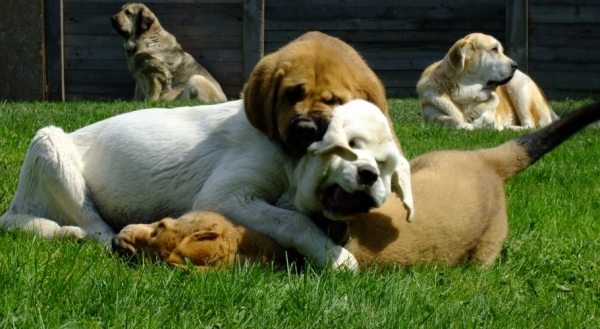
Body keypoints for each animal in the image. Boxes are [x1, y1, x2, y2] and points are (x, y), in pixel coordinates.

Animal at [0, 99, 412, 270]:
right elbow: (291, 220)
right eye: (350, 146)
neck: (292, 161)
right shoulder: (224, 196)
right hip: (49, 143)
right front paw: (336, 258)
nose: (369, 177)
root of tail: (17, 205)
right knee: (95, 228)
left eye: (385, 166)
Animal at [418, 32, 556, 130]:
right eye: (494, 49)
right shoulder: (432, 114)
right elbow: (448, 119)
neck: (464, 94)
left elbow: (486, 117)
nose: (515, 65)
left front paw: (480, 124)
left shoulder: (491, 111)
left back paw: (510, 127)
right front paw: (463, 124)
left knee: (530, 125)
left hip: (518, 87)